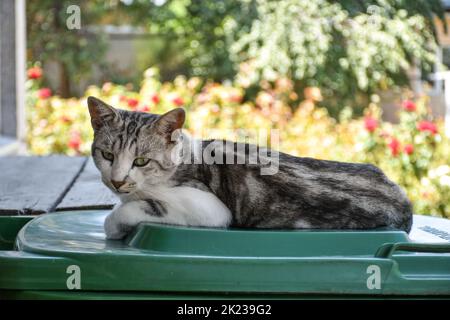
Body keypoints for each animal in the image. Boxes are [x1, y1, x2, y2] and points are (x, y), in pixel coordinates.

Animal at [86, 96, 414, 239]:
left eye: (141, 161)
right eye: (107, 154)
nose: (117, 181)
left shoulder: (209, 208)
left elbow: (129, 210)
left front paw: (115, 223)